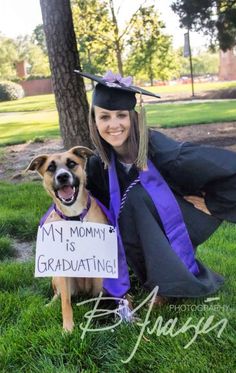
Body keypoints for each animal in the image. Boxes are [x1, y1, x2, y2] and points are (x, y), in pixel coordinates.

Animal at [26, 146, 107, 332]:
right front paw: (68, 328)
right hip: (58, 278)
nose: (62, 176)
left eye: (71, 163)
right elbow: (65, 303)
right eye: (50, 167)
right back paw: (49, 305)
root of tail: (84, 292)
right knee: (60, 295)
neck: (74, 216)